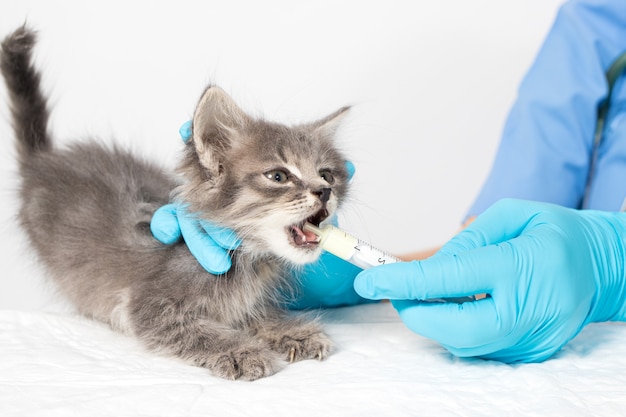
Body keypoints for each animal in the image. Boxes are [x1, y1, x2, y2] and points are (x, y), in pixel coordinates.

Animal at [1, 25, 352, 376]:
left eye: (327, 175)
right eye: (278, 176)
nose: (324, 191)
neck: (247, 261)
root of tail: (43, 161)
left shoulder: (247, 302)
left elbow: (257, 315)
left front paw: (291, 332)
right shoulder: (149, 307)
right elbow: (202, 332)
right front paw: (242, 352)